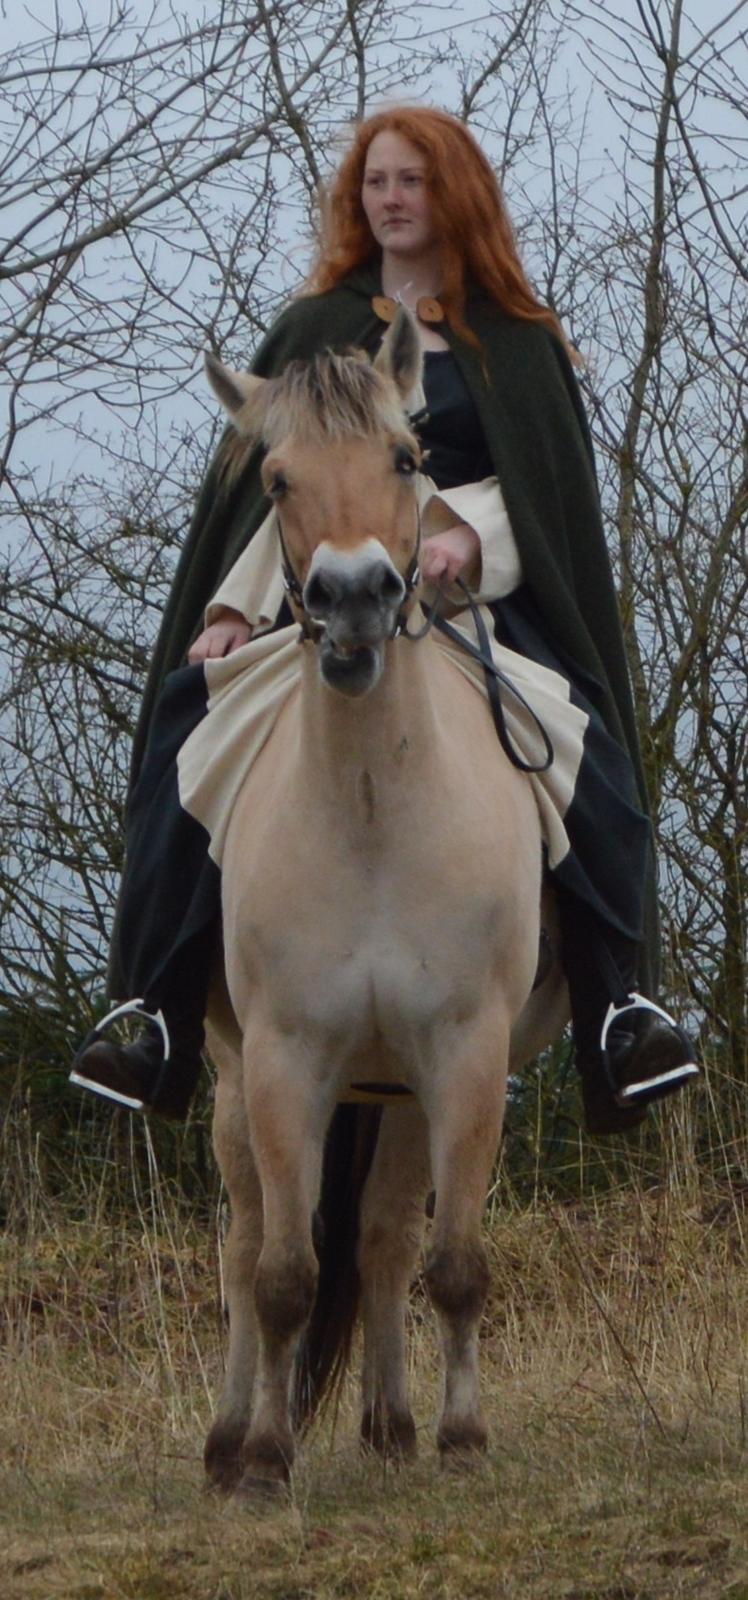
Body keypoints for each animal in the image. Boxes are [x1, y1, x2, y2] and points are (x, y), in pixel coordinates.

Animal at [198, 305, 565, 1491]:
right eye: (274, 479)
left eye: (406, 459)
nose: (356, 597)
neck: (370, 817)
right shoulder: (283, 1059)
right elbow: (280, 1274)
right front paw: (266, 1457)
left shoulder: (464, 1051)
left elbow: (447, 1260)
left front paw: (461, 1437)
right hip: (235, 1082)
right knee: (246, 1246)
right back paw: (229, 1438)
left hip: (400, 1086)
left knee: (386, 1234)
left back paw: (395, 1425)